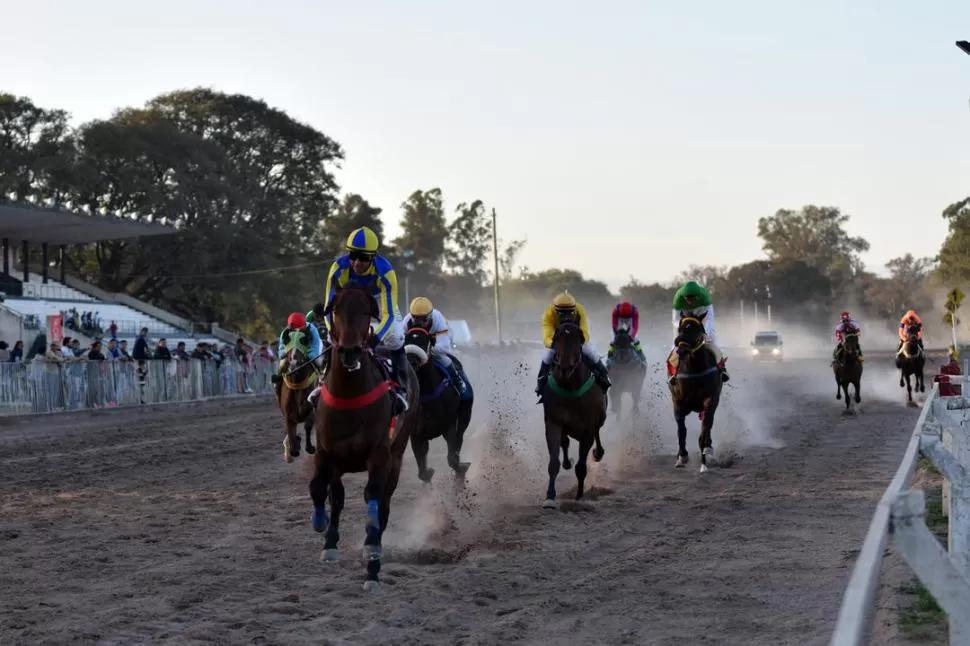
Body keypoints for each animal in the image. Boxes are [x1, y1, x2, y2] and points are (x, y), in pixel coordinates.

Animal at [270, 334, 316, 466]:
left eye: (304, 341)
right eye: (288, 341)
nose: (295, 363)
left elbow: (309, 424)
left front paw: (310, 447)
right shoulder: (288, 413)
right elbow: (290, 428)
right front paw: (292, 449)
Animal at [308, 286, 418, 596]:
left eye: (367, 310)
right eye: (336, 309)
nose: (349, 351)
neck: (349, 397)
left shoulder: (380, 455)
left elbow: (374, 500)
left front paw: (372, 560)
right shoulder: (326, 452)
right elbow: (320, 489)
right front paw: (322, 528)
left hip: (398, 453)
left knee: (385, 503)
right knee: (338, 495)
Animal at [402, 330, 474, 486]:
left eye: (425, 340)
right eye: (405, 339)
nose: (411, 363)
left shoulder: (449, 426)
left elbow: (452, 458)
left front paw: (462, 470)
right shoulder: (416, 434)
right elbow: (422, 473)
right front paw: (429, 473)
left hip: (466, 413)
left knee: (460, 437)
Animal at [536, 322, 604, 508]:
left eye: (577, 338)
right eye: (557, 338)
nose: (565, 367)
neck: (570, 387)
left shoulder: (587, 430)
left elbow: (581, 467)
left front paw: (580, 496)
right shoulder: (553, 422)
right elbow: (554, 462)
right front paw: (550, 497)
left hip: (600, 418)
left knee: (598, 432)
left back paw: (598, 453)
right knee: (565, 442)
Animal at [668, 316, 724, 474]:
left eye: (696, 329)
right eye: (681, 328)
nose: (682, 350)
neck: (695, 369)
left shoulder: (711, 399)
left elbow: (705, 427)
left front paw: (704, 462)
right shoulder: (678, 401)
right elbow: (681, 429)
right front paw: (682, 456)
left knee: (708, 423)